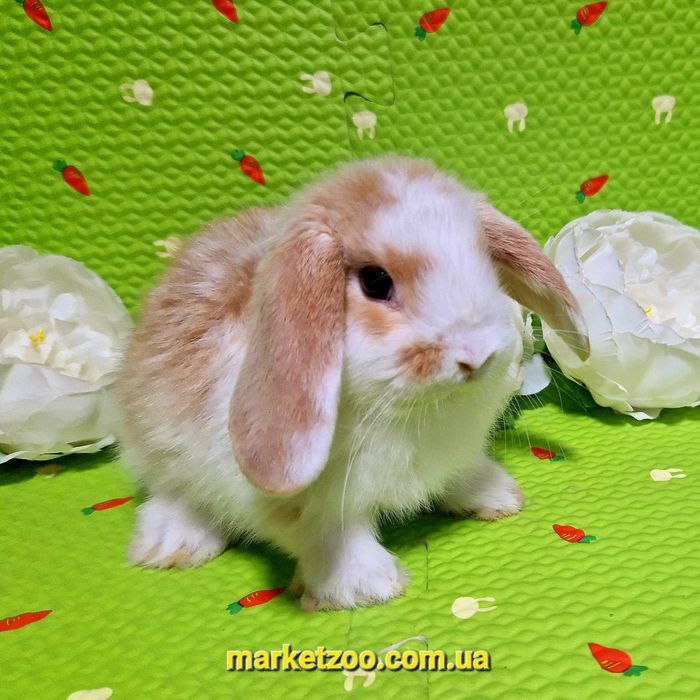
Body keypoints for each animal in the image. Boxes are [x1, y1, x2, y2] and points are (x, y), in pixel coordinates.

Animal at [115, 156, 588, 611]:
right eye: (375, 282)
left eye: (485, 263)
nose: (476, 356)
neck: (414, 409)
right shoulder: (303, 502)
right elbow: (328, 534)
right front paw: (366, 587)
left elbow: (460, 473)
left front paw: (497, 496)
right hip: (160, 443)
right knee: (173, 490)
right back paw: (171, 544)